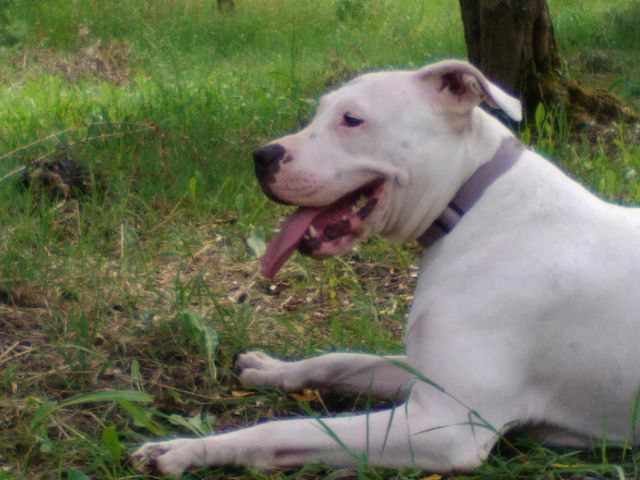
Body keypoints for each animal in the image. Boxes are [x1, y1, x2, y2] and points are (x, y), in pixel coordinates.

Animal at [132, 59, 640, 477]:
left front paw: (183, 449)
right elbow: (341, 360)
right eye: (320, 112)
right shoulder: (422, 378)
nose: (262, 156)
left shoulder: (444, 425)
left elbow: (291, 429)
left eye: (352, 120)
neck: (472, 203)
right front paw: (270, 370)